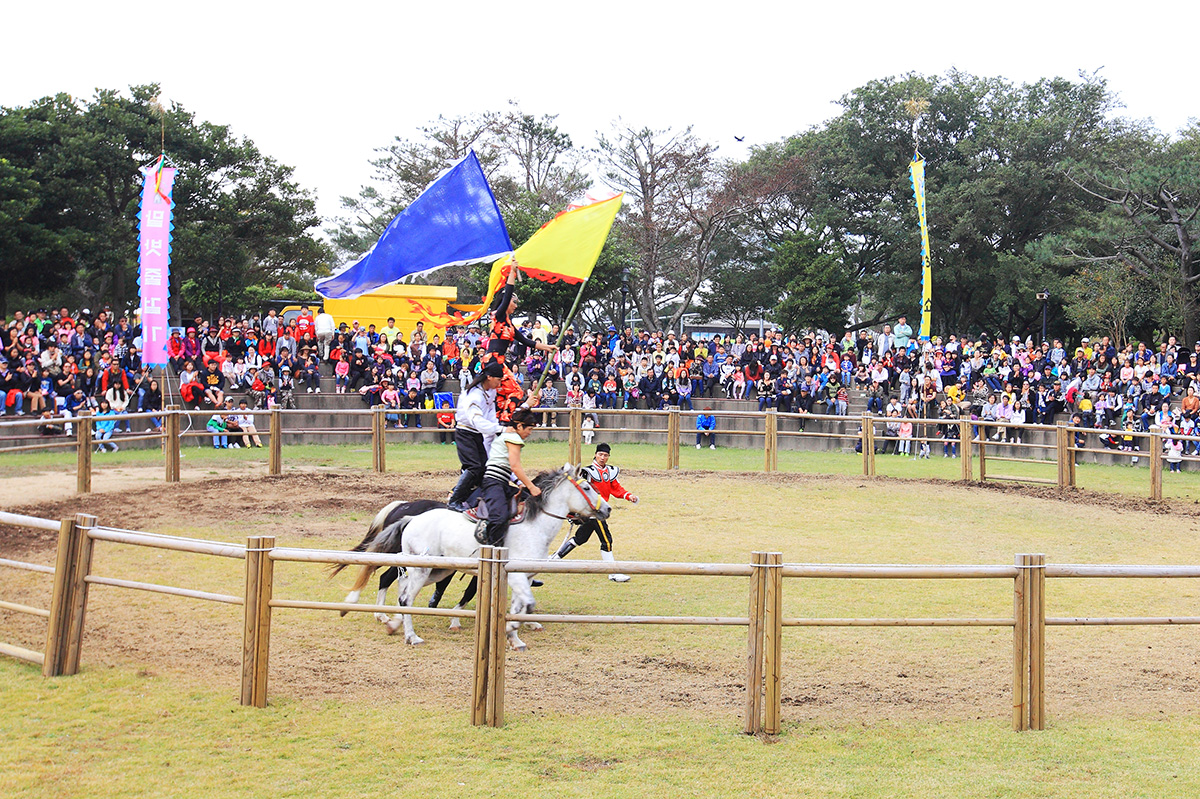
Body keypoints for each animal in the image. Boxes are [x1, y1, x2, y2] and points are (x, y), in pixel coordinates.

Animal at [384, 467, 609, 647]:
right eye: (587, 488)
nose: (607, 509)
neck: (535, 526)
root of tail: (411, 518)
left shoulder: (525, 576)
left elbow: (520, 607)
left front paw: (515, 639)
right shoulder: (516, 576)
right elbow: (525, 605)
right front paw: (510, 631)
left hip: (437, 571)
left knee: (402, 591)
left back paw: (393, 623)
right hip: (423, 570)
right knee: (406, 598)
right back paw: (412, 636)